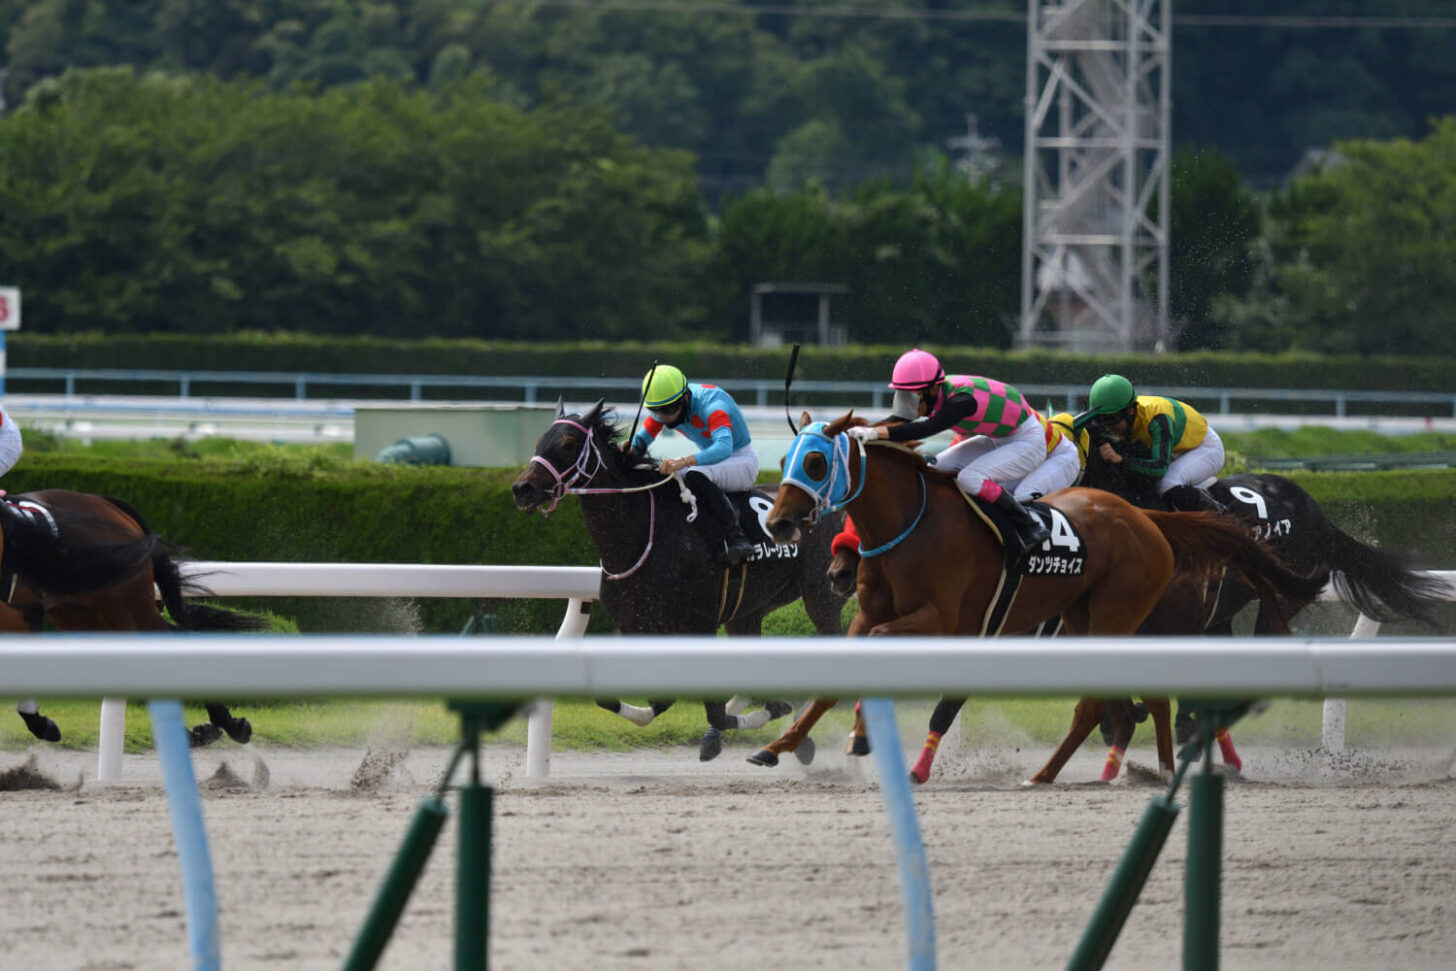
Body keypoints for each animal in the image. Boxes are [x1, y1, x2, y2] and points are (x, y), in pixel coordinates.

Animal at [7, 489, 267, 751]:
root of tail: (104, 502)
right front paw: (40, 722)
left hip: (124, 608)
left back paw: (228, 726)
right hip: (82, 614)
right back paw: (196, 732)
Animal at [515, 401, 850, 757]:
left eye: (568, 443)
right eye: (539, 441)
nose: (522, 489)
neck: (645, 535)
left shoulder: (700, 624)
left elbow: (714, 711)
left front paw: (770, 714)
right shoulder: (634, 626)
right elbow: (633, 700)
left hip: (821, 597)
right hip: (748, 611)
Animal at [745, 413, 1327, 786]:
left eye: (816, 462)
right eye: (786, 457)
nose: (778, 523)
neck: (914, 524)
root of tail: (1146, 518)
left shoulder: (940, 620)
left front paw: (868, 742)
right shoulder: (870, 614)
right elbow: (838, 680)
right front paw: (777, 747)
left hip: (1120, 619)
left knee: (1116, 703)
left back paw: (1105, 771)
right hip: (1086, 617)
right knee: (1124, 703)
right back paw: (1123, 769)